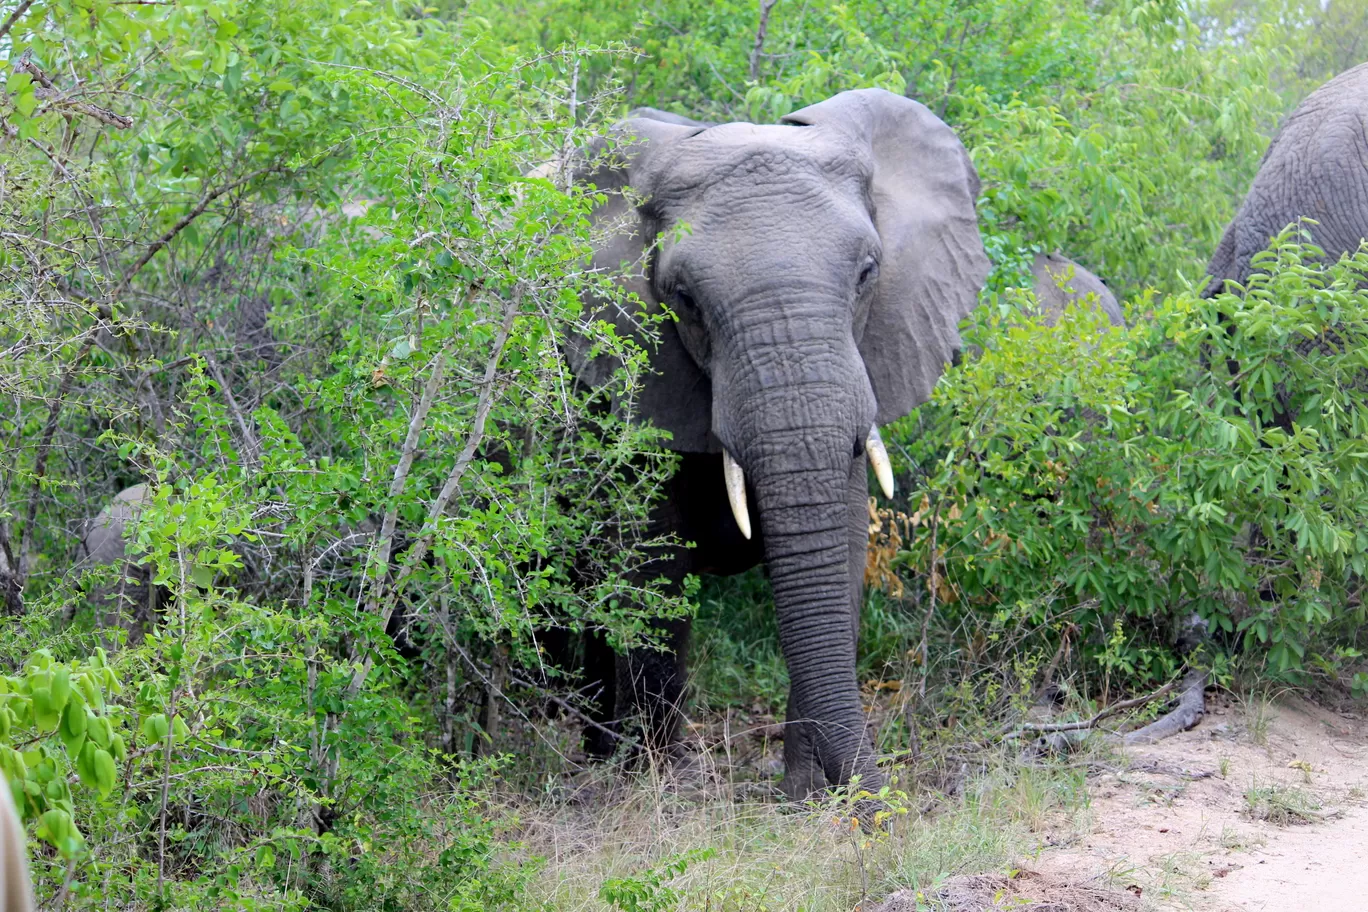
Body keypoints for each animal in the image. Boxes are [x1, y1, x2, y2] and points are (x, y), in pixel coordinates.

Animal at [560, 88, 990, 793]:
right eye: (683, 297)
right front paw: (656, 787)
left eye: (868, 273)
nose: (877, 794)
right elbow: (654, 560)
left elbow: (841, 543)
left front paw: (809, 798)